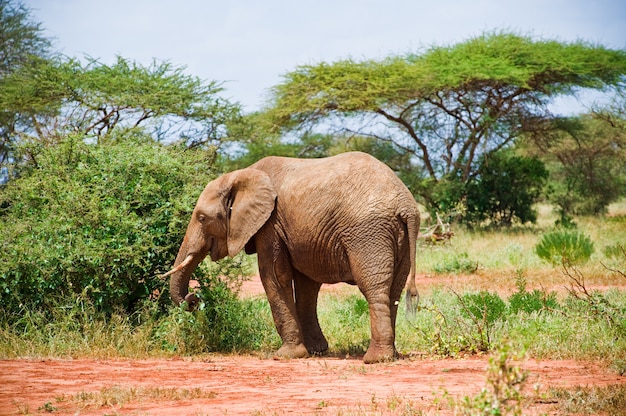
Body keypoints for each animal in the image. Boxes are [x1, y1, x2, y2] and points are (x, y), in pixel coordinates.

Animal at [163, 151, 416, 362]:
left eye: (202, 218)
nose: (194, 299)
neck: (242, 174)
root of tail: (407, 206)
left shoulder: (270, 224)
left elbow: (274, 275)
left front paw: (286, 355)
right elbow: (307, 285)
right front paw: (315, 351)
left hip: (367, 232)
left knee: (373, 287)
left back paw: (376, 359)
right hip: (398, 238)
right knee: (394, 290)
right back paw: (392, 355)